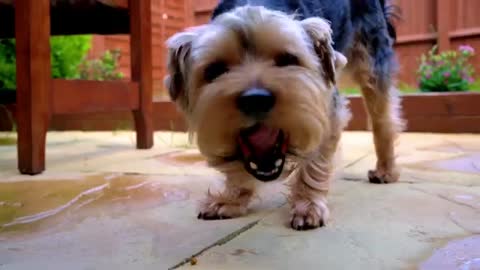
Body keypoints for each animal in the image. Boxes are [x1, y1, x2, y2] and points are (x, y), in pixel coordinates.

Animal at [163, 0, 404, 230]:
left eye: (288, 59)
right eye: (214, 70)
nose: (255, 98)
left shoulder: (322, 102)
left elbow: (317, 157)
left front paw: (308, 205)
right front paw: (231, 198)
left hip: (371, 56)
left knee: (382, 117)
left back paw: (386, 170)